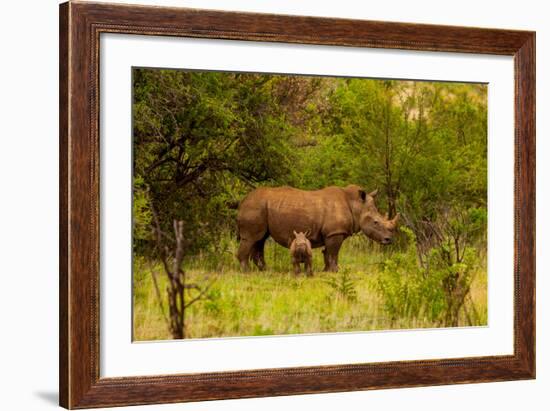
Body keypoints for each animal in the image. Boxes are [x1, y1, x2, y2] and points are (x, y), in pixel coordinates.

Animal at [237, 185, 402, 272]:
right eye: (376, 222)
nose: (389, 240)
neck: (356, 205)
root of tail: (243, 200)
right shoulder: (335, 232)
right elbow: (334, 252)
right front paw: (336, 271)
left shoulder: (330, 233)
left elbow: (328, 252)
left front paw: (326, 271)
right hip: (255, 206)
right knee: (251, 238)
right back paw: (247, 272)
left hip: (261, 207)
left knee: (260, 239)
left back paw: (264, 270)